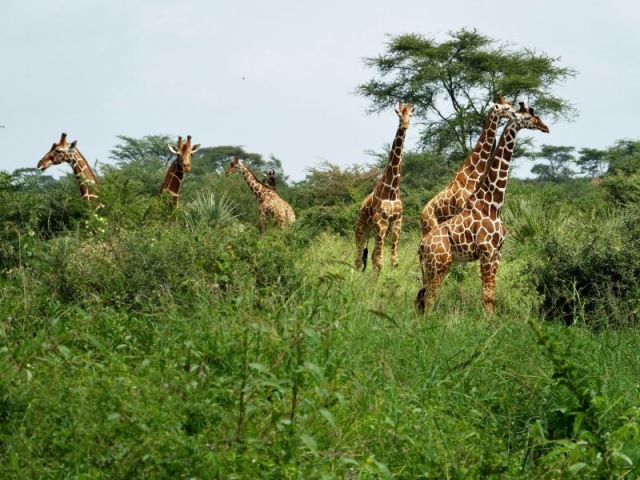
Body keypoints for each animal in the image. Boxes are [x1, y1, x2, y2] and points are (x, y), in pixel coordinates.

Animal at [354, 102, 414, 272]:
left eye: (411, 114)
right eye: (399, 114)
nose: (405, 125)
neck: (392, 189)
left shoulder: (396, 221)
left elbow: (393, 260)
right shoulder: (380, 221)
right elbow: (380, 261)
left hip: (379, 230)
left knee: (371, 256)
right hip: (362, 227)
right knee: (358, 258)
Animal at [420, 95, 516, 236]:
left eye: (511, 105)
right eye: (506, 108)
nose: (516, 113)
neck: (472, 175)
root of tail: (421, 216)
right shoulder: (463, 208)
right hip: (430, 226)